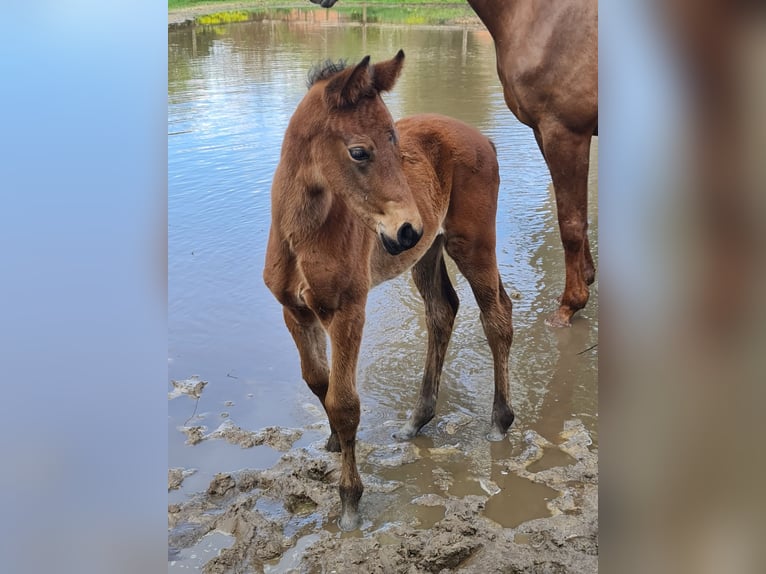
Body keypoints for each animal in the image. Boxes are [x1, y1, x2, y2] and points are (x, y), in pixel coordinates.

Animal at [264, 51, 516, 532]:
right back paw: (417, 420)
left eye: (399, 150)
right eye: (359, 151)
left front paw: (349, 502)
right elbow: (318, 382)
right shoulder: (294, 311)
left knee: (497, 316)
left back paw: (500, 420)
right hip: (427, 253)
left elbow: (344, 402)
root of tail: (486, 142)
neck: (303, 235)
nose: (407, 229)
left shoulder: (348, 310)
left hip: (470, 243)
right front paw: (331, 442)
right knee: (444, 310)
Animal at [312, 0, 600, 328]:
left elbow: (570, 223)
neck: (539, 17)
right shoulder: (545, 132)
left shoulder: (563, 132)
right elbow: (577, 214)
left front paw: (570, 305)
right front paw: (586, 278)